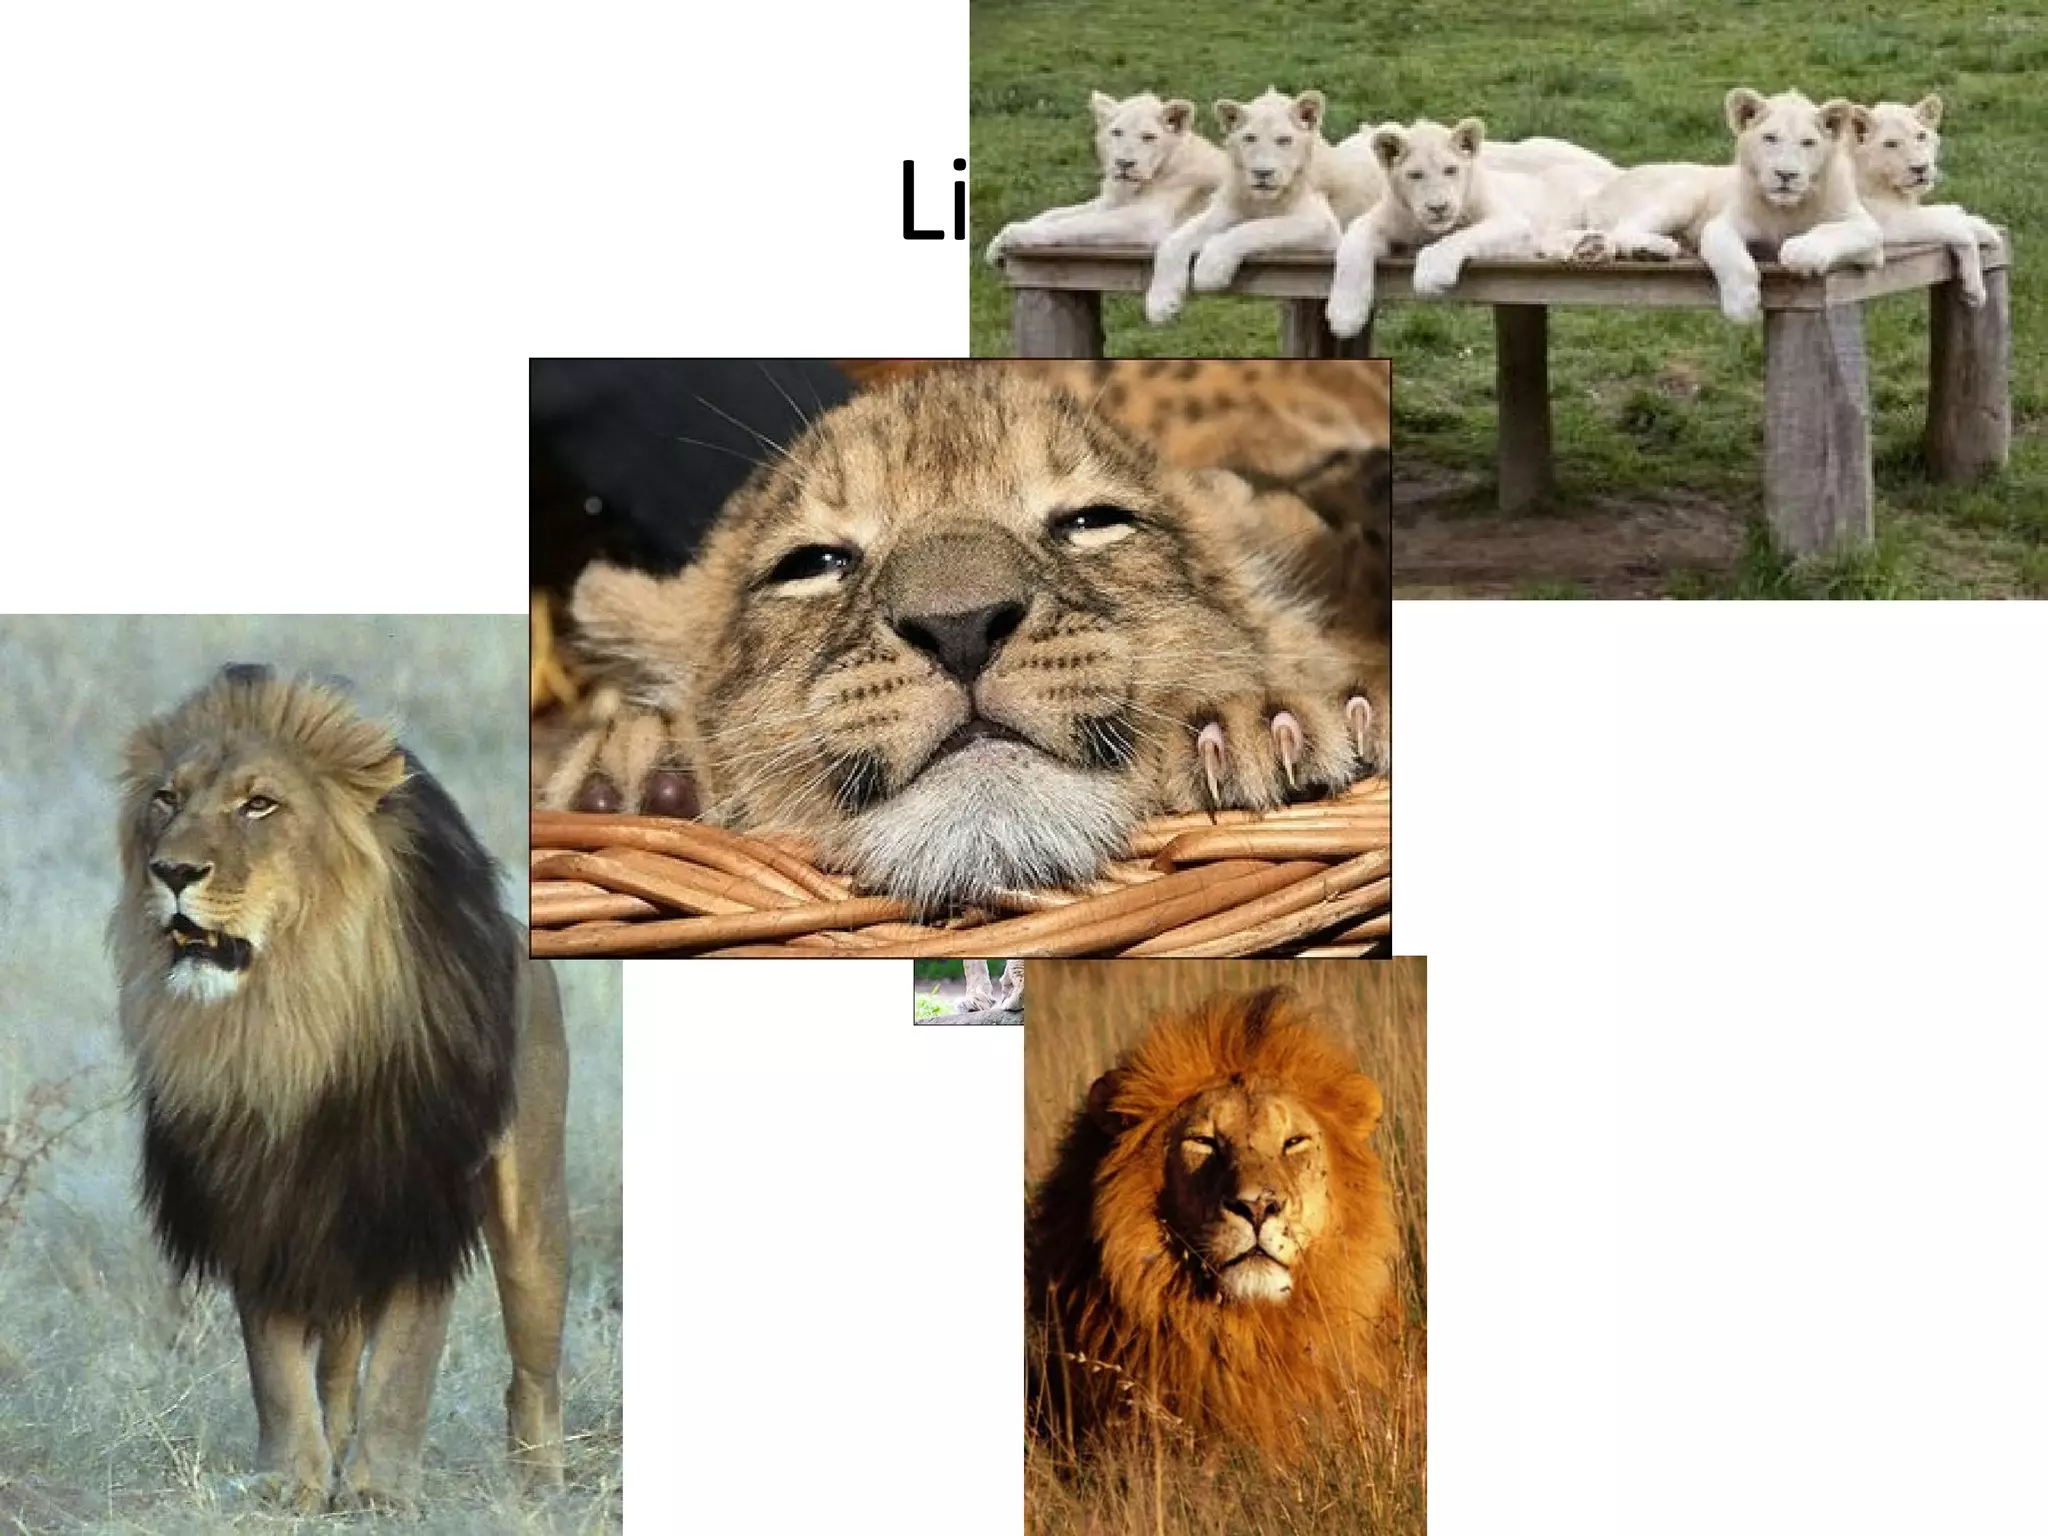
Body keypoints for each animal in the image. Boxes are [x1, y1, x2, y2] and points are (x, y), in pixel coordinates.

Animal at [109, 664, 569, 1513]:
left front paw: (381, 1491)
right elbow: (278, 1369)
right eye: (166, 798)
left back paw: (540, 1488)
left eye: (260, 804)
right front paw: (291, 1483)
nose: (173, 872)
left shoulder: (420, 1198)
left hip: (532, 1222)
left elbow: (405, 1367)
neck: (293, 1019)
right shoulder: (260, 1201)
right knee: (336, 1367)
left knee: (532, 1371)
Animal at [984, 91, 1228, 265]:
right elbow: (1055, 213)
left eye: (1148, 137)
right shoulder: (1107, 203)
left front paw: (1017, 233)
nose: (1124, 163)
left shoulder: (1146, 219)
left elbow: (1079, 223)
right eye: (1117, 132)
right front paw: (995, 245)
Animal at [1325, 116, 1620, 338]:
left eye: (1451, 169)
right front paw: (1344, 317)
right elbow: (1351, 249)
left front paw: (1431, 277)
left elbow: (1461, 237)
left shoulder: (1510, 220)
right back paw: (1589, 247)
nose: (1438, 207)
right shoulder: (1380, 219)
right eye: (1415, 175)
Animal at [1563, 88, 1883, 322]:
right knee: (1622, 229)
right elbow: (1733, 257)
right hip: (1684, 189)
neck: (1786, 209)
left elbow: (1834, 230)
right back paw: (1654, 249)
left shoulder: (1870, 233)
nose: (1786, 175)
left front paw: (1802, 253)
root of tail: (1601, 191)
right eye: (1770, 138)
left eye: (1808, 142)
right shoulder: (1721, 224)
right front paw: (1743, 306)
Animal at [1848, 95, 2003, 308]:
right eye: (1890, 144)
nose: (1920, 168)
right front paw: (1975, 290)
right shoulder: (1886, 223)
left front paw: (1980, 225)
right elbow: (1956, 227)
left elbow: (1952, 212)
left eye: (1921, 136)